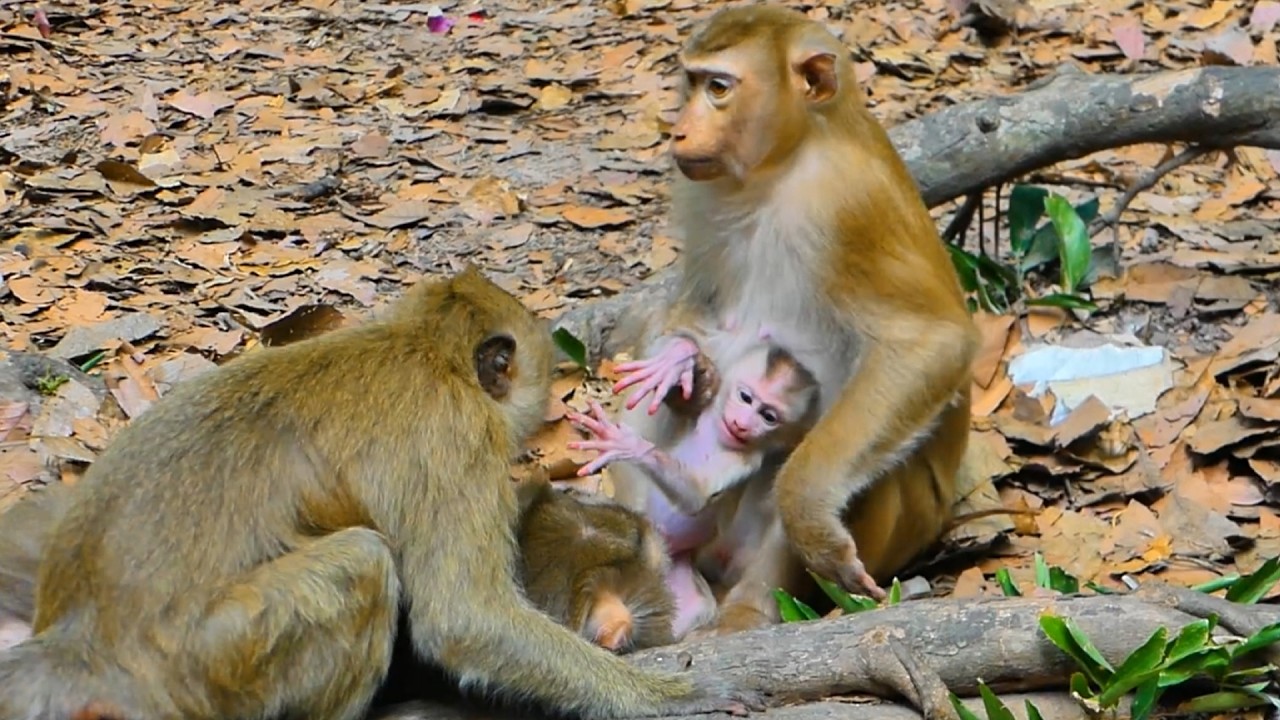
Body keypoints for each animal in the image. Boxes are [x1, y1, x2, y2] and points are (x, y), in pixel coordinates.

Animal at [573, 341, 821, 638]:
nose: (741, 423)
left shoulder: (744, 461)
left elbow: (697, 497)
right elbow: (688, 404)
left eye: (768, 416)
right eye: (746, 398)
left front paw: (632, 447)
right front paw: (680, 362)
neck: (718, 437)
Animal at [611, 4, 980, 632]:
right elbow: (698, 312)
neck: (786, 165)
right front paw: (686, 370)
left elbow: (932, 342)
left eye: (718, 88)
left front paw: (807, 512)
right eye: (691, 82)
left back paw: (749, 609)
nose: (679, 131)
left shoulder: (848, 203)